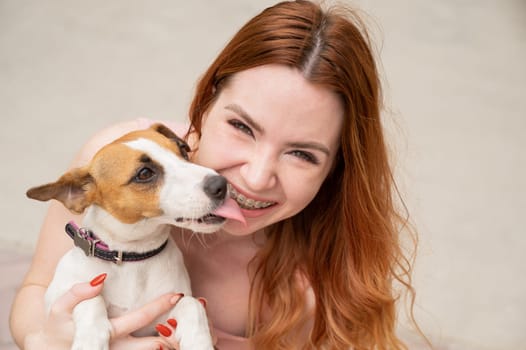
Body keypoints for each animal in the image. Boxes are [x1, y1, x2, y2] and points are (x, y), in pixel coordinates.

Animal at [26, 123, 245, 350]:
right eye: (145, 173)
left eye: (183, 151)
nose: (221, 184)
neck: (132, 257)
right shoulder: (57, 299)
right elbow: (90, 299)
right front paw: (91, 338)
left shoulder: (166, 311)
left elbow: (191, 303)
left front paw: (198, 340)